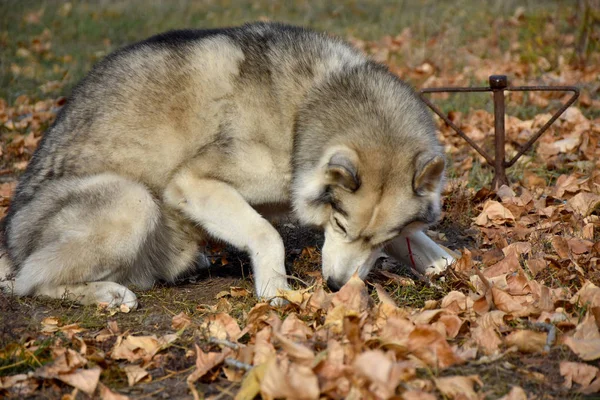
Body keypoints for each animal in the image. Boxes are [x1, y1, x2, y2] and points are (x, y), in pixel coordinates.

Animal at [0, 21, 452, 308]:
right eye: (341, 226)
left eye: (379, 239)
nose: (338, 286)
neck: (306, 107)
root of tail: (10, 241)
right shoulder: (192, 183)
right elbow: (267, 233)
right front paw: (275, 289)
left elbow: (420, 243)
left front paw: (443, 262)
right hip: (132, 201)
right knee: (30, 281)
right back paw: (106, 294)